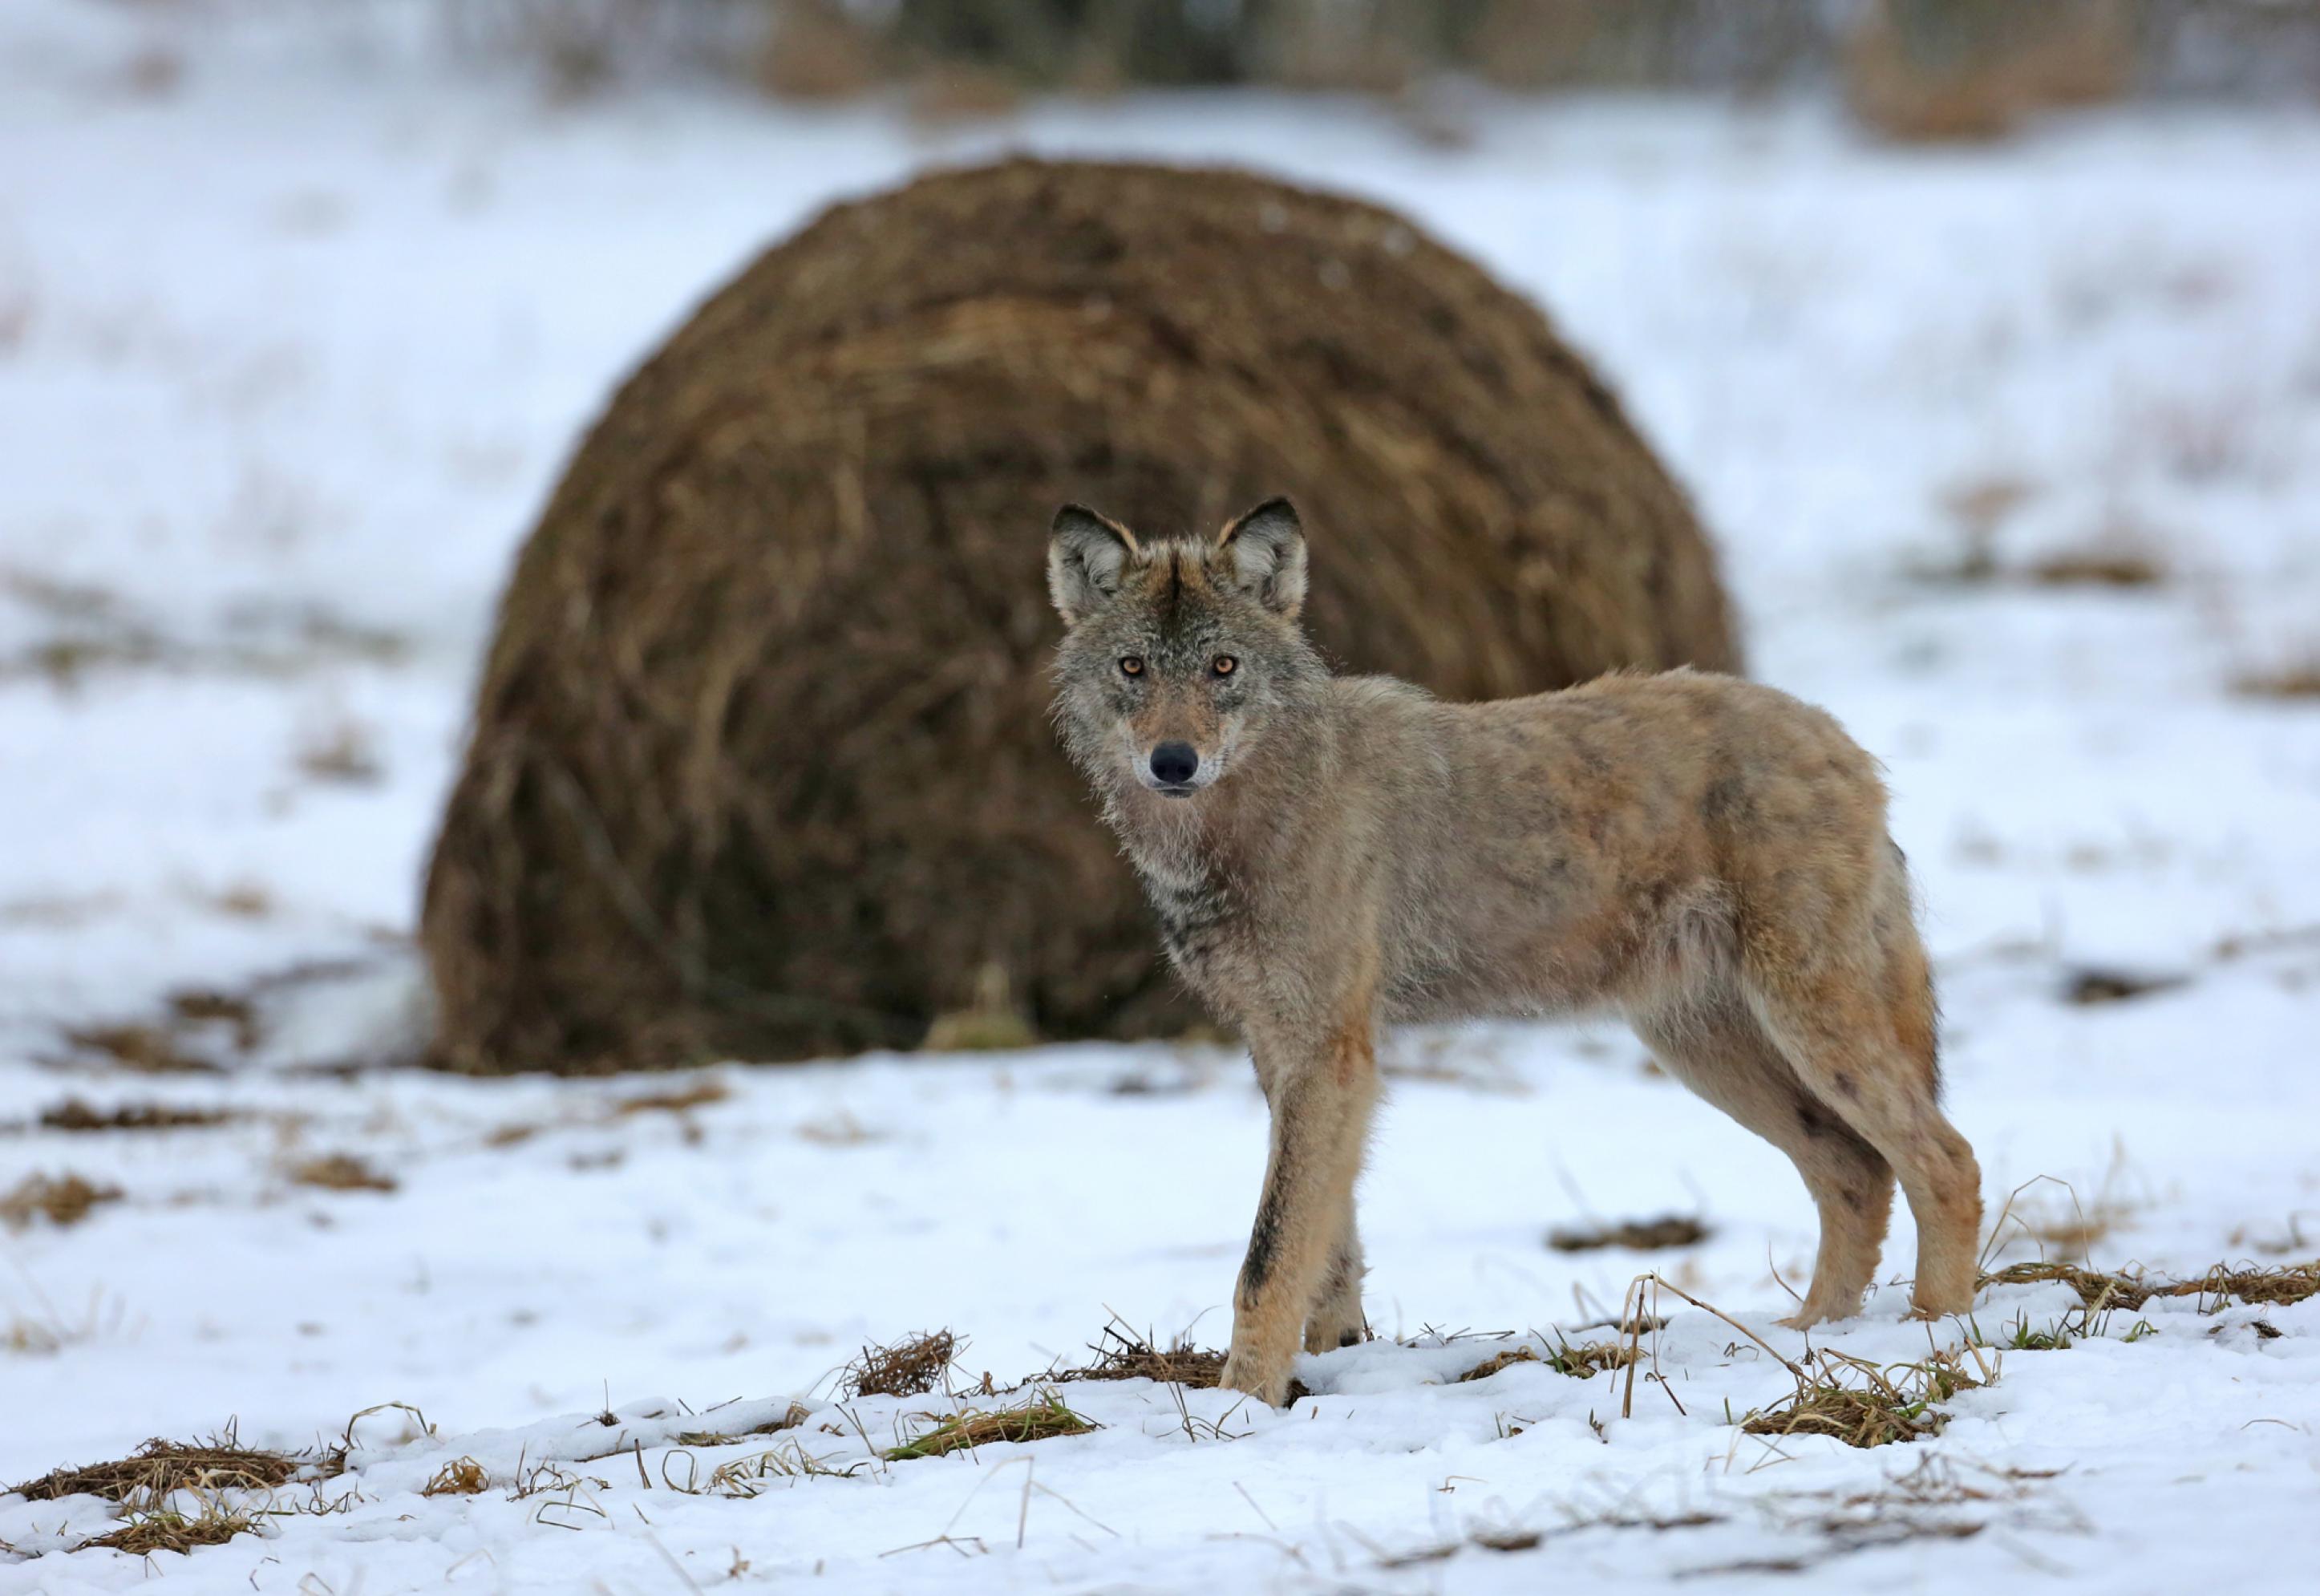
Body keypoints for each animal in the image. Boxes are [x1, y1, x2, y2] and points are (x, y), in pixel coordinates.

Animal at [1048, 492, 1976, 1401]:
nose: (1173, 761)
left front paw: (1238, 1408)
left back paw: (1930, 1337)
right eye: (1132, 668)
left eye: (1222, 668)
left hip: (1804, 1026)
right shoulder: (1288, 1052)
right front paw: (1326, 1366)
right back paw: (1813, 1340)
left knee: (1944, 1160)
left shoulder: (1328, 1053)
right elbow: (1326, 1247)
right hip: (1707, 1051)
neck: (1243, 825)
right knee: (1855, 1172)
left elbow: (1267, 1258)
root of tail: (1841, 740)